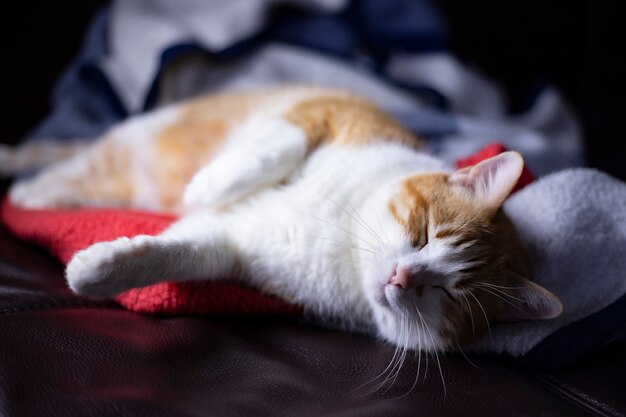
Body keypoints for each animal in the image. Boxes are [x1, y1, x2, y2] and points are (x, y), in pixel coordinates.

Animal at [3, 85, 560, 352]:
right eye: (423, 235)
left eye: (446, 295)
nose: (403, 277)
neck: (345, 238)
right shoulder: (325, 115)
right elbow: (273, 150)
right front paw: (205, 186)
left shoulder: (228, 248)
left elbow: (168, 255)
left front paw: (98, 272)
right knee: (64, 159)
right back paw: (27, 186)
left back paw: (35, 193)